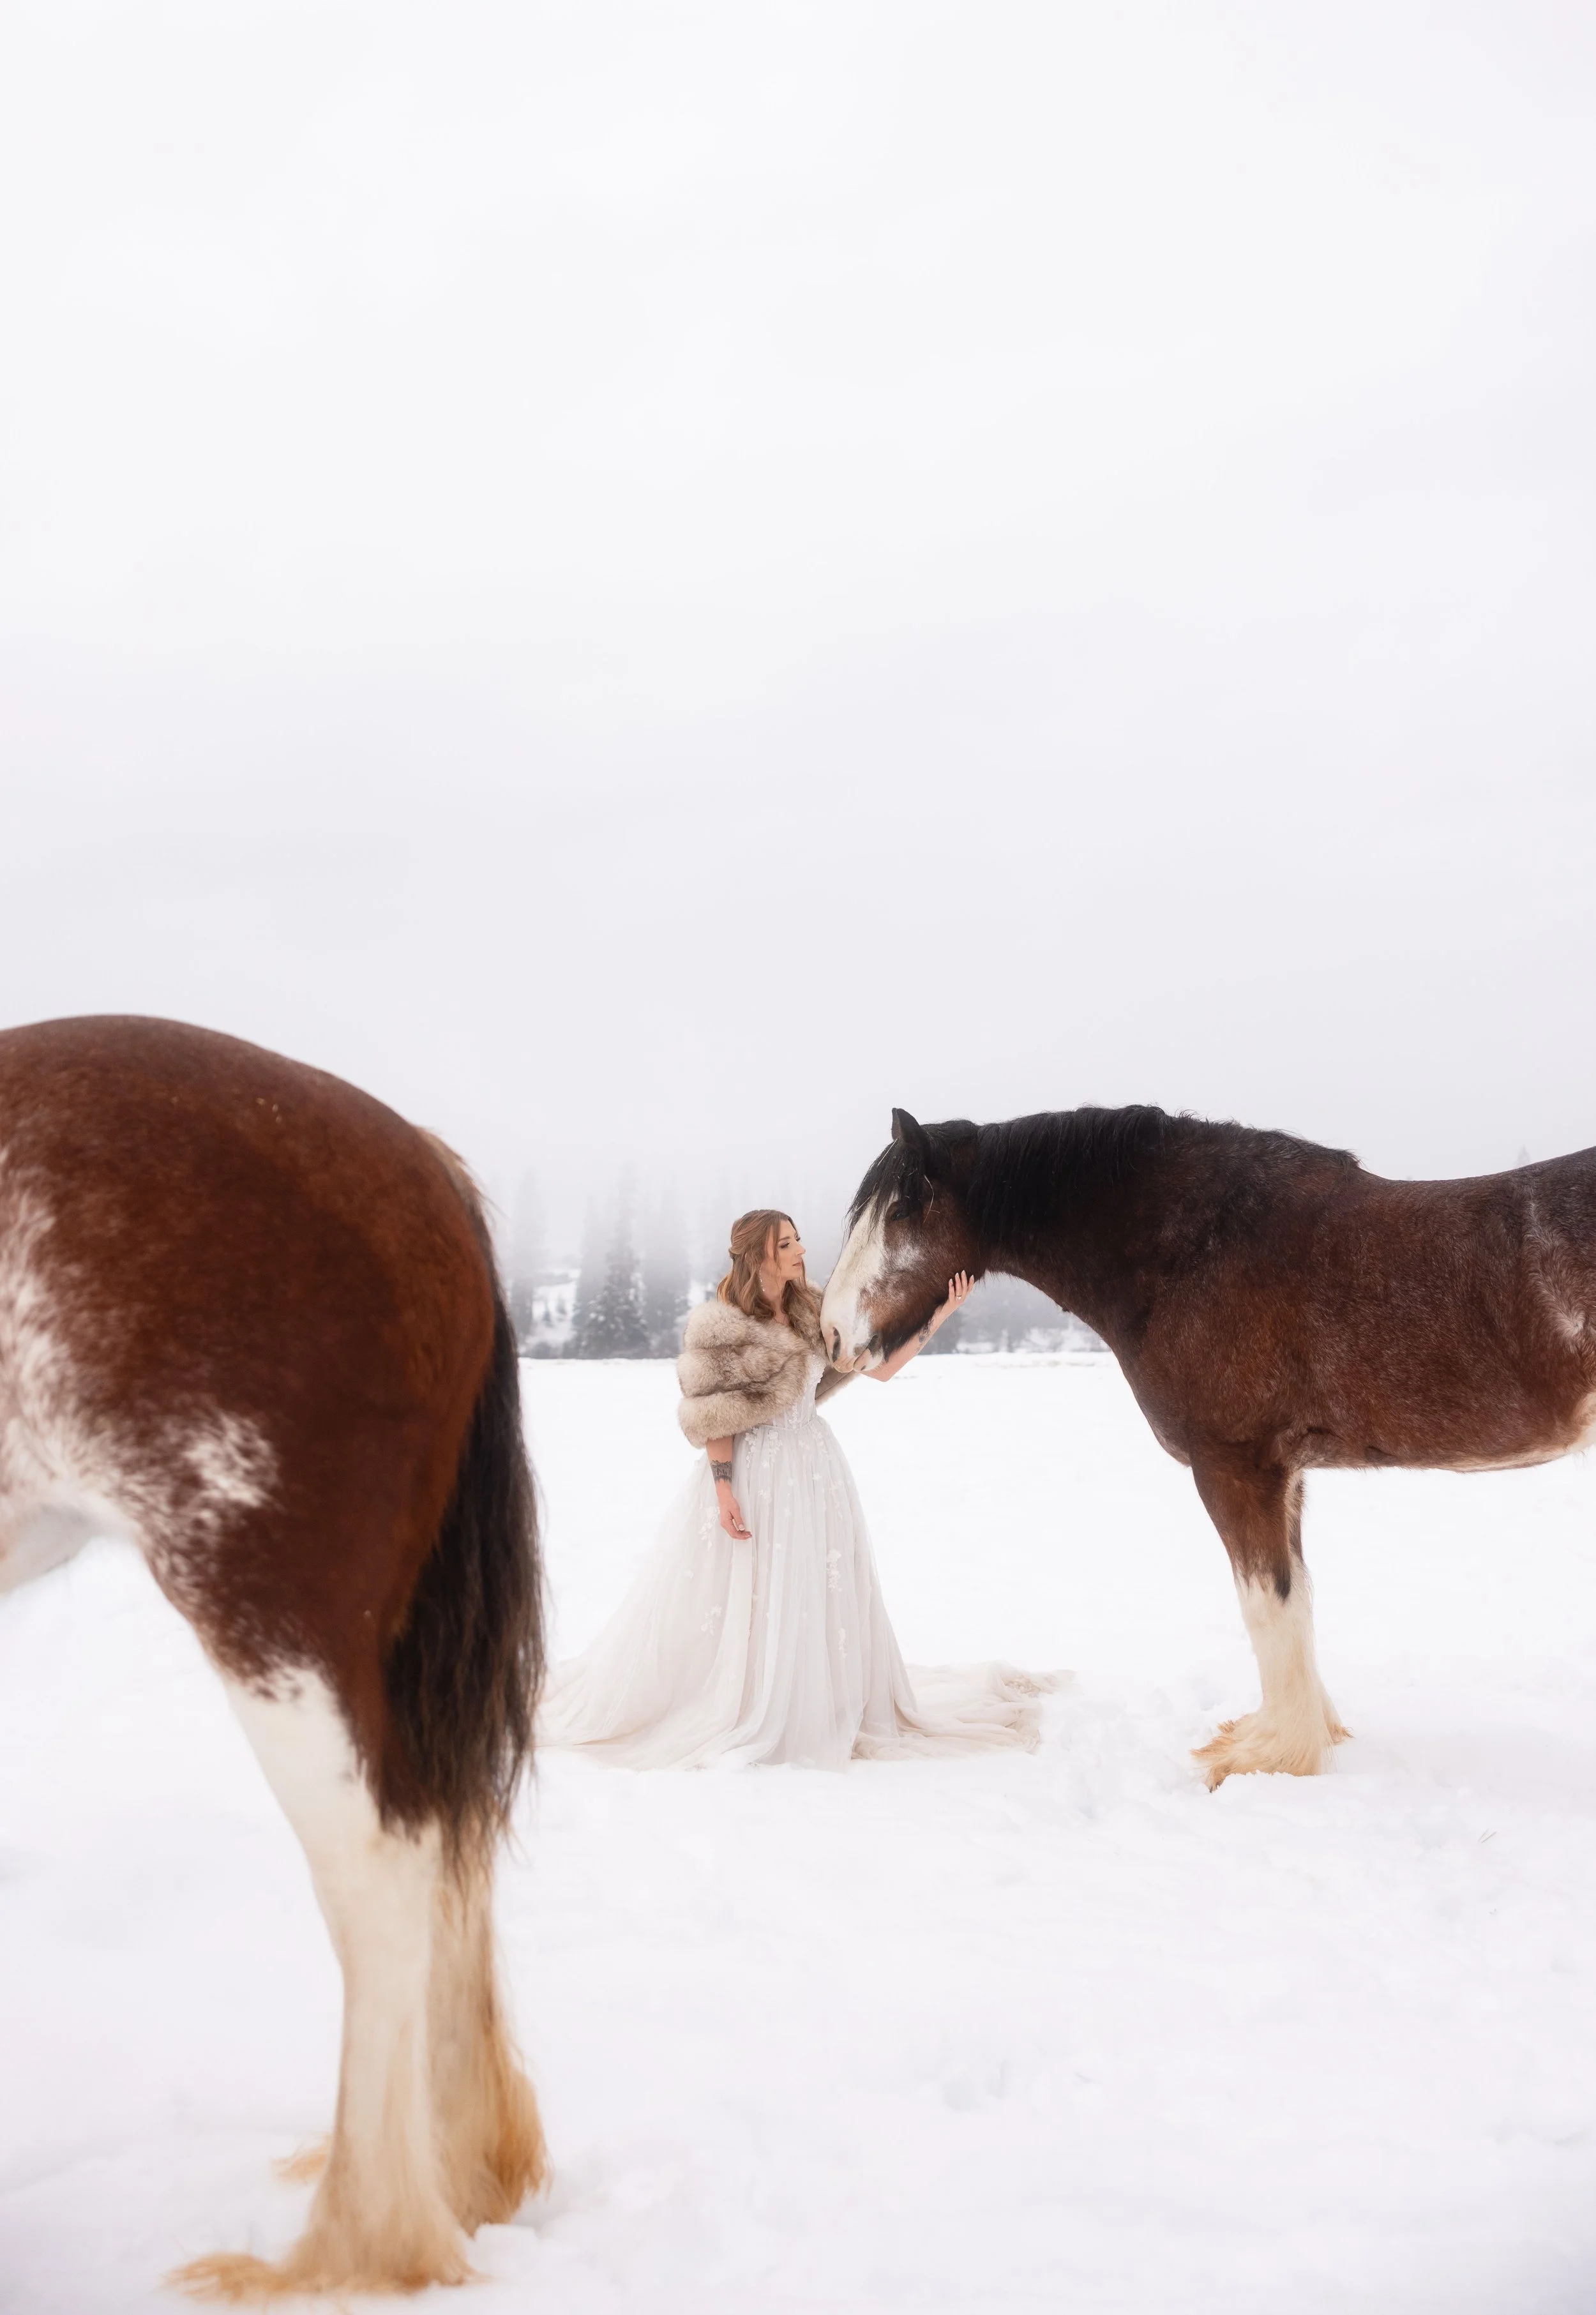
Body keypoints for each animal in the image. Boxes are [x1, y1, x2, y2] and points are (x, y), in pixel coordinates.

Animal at [0, 1016, 546, 2298]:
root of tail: (424, 1169)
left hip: (270, 1608)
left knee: (383, 1869)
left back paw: (370, 2240)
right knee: (450, 1843)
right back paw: (461, 2175)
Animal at [822, 1105, 1596, 1787]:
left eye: (901, 1209)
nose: (830, 1333)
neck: (1192, 1249)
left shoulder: (1234, 1465)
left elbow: (1268, 1606)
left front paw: (1268, 1757)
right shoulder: (1285, 1474)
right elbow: (1298, 1600)